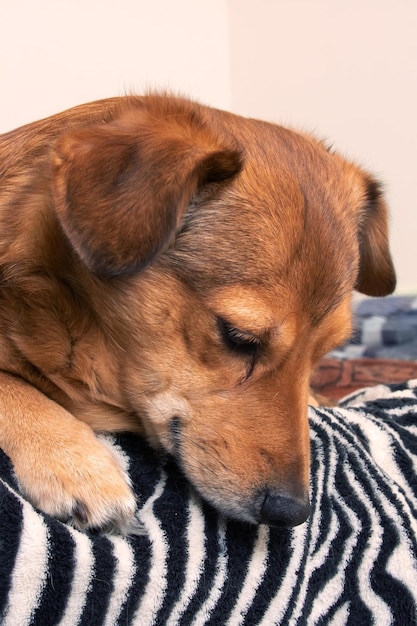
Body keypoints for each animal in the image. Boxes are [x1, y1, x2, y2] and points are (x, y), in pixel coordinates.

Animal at [0, 94, 394, 532]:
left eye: (322, 354)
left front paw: (323, 396)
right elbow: (11, 386)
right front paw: (76, 465)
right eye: (238, 337)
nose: (292, 513)